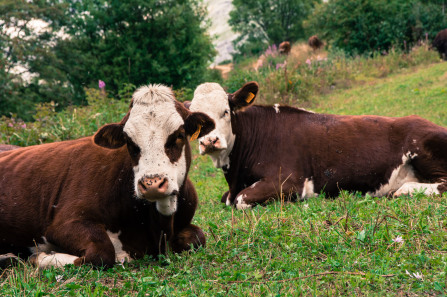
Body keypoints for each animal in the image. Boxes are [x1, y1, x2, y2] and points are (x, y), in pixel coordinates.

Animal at [0, 84, 217, 268]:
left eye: (179, 135)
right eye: (129, 142)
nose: (152, 184)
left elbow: (198, 237)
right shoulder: (63, 224)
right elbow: (101, 253)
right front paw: (40, 258)